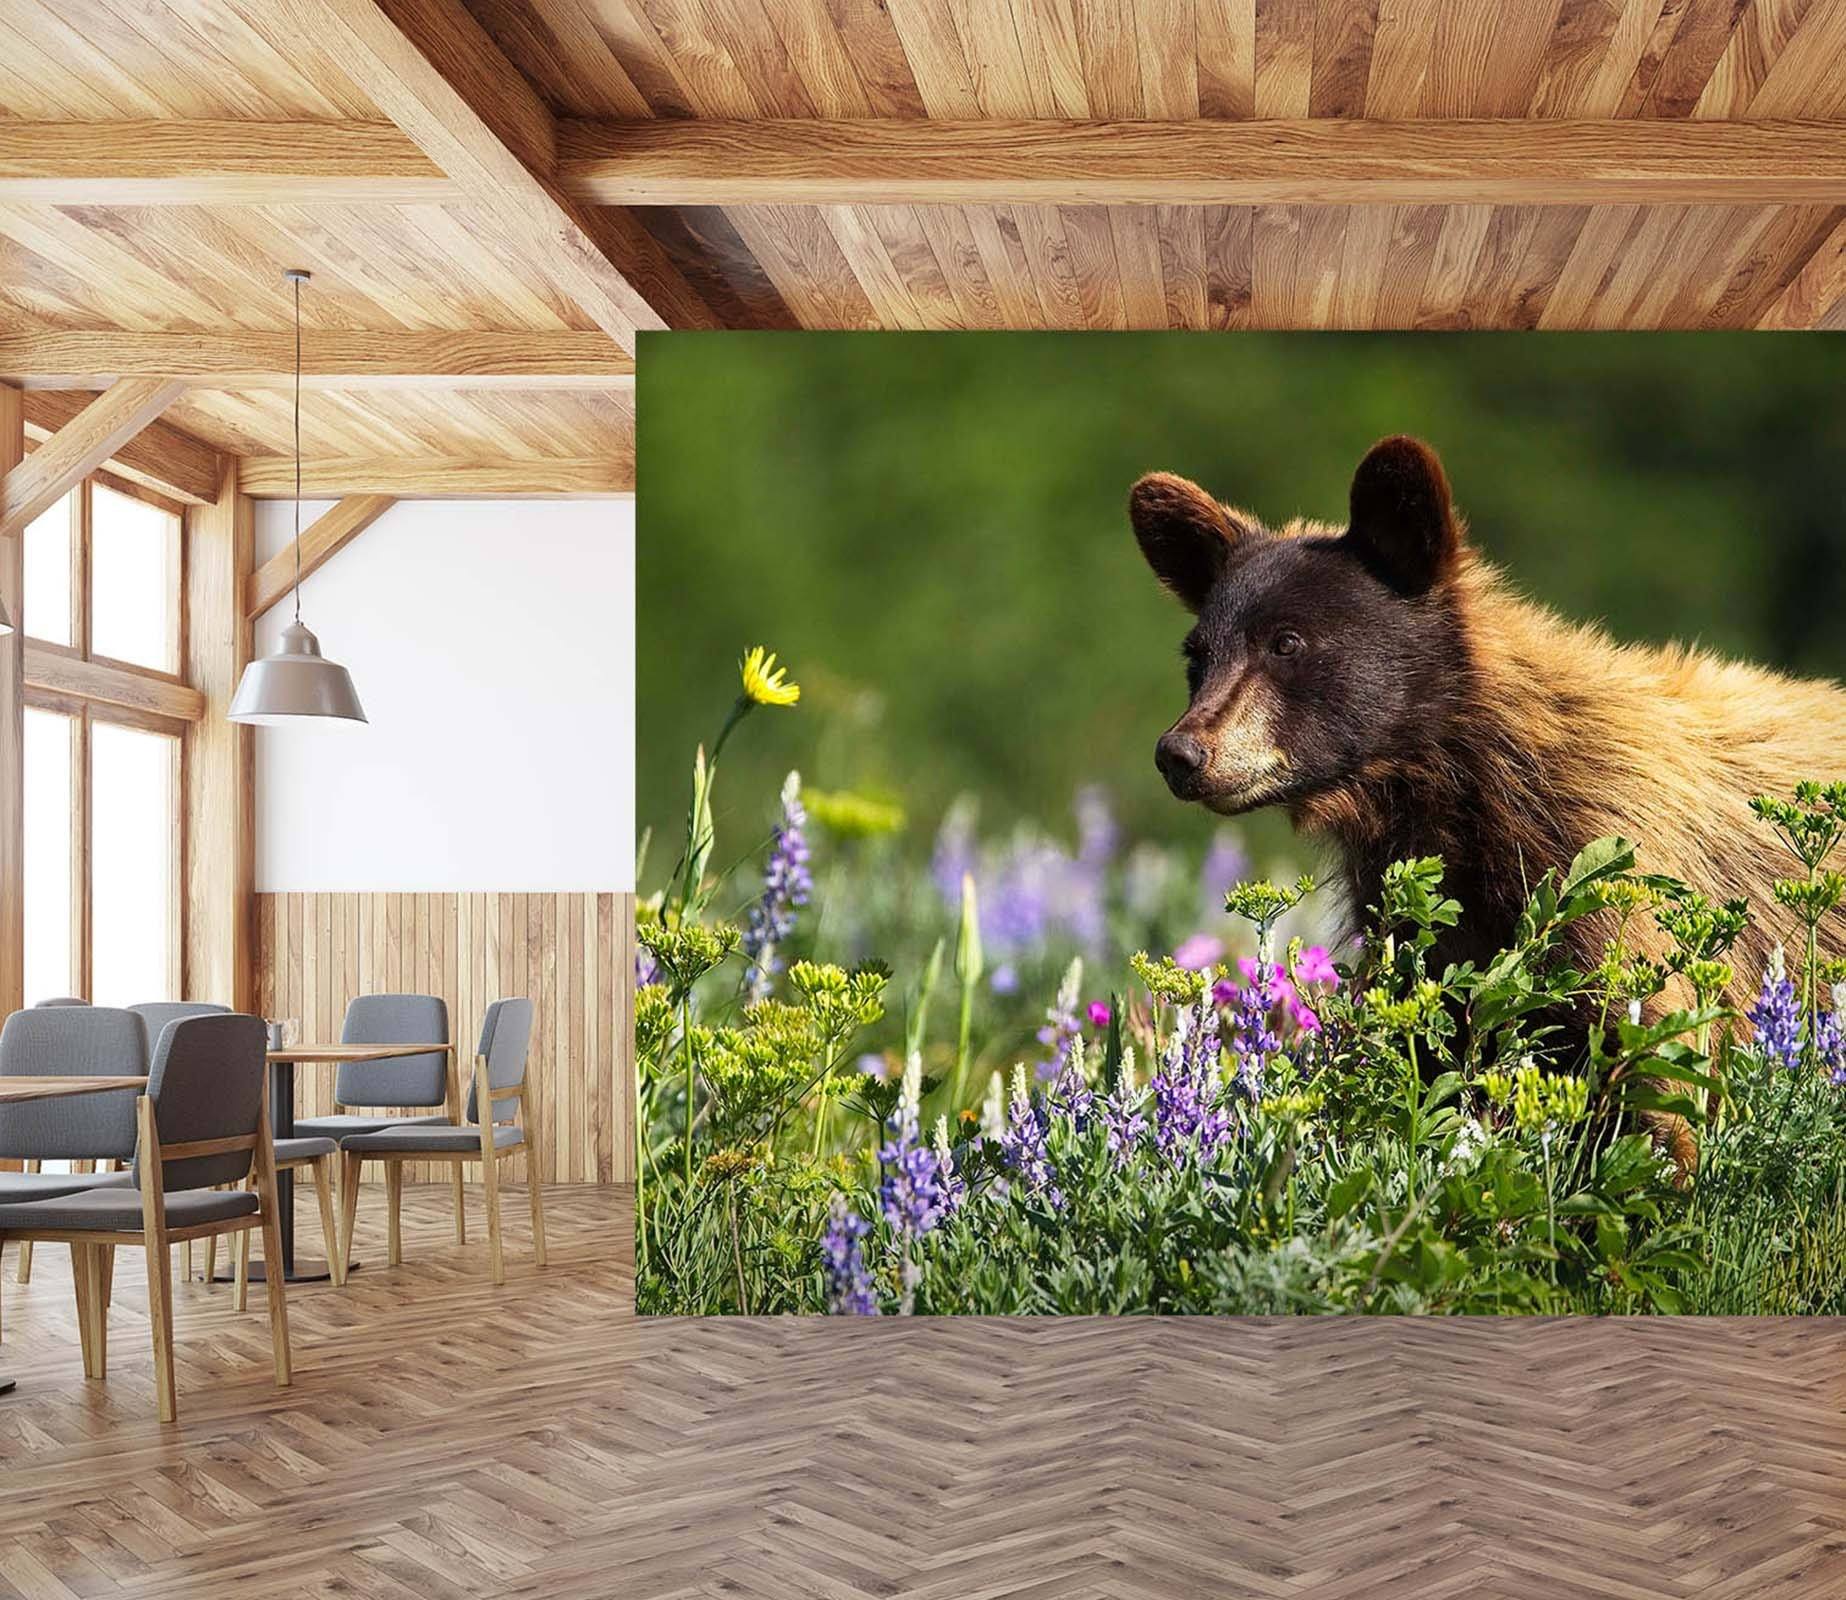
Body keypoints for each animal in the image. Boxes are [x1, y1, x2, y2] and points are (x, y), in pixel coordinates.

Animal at [1128, 434, 1846, 1108]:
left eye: (1286, 642)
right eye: (1198, 656)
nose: (1181, 753)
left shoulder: (1622, 883)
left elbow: (1659, 1073)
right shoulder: (1428, 928)